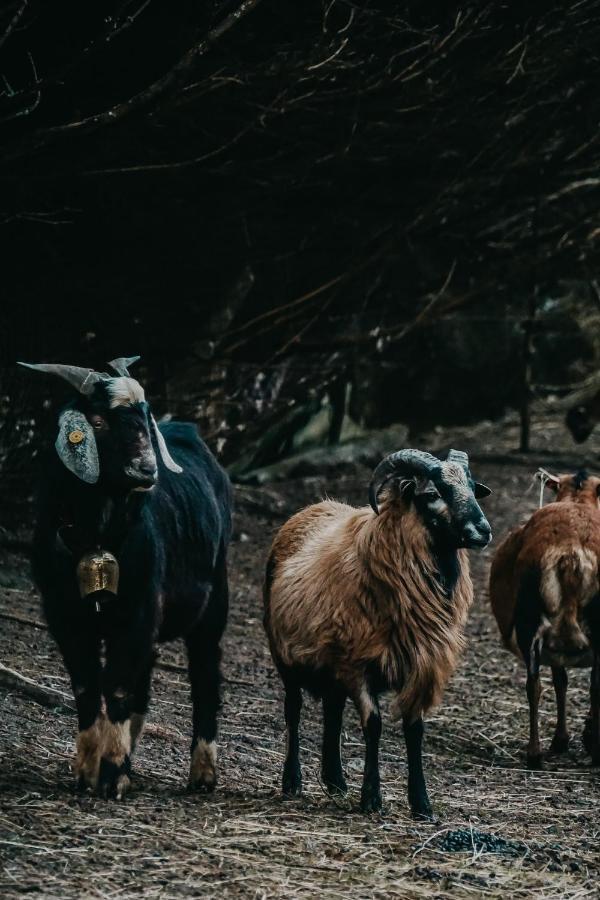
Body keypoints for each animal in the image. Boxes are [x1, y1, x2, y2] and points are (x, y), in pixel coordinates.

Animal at [17, 356, 231, 800]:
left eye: (145, 420)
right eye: (97, 422)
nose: (147, 469)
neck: (97, 534)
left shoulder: (137, 610)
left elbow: (115, 684)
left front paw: (112, 775)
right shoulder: (63, 613)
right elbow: (87, 685)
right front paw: (88, 770)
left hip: (214, 598)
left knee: (205, 675)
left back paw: (202, 774)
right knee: (144, 681)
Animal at [264, 448, 490, 816]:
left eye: (471, 487)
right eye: (432, 494)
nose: (482, 530)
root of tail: (312, 507)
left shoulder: (419, 666)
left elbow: (414, 730)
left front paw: (421, 804)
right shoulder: (358, 666)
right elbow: (373, 725)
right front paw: (371, 798)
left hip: (332, 663)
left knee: (333, 710)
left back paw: (336, 782)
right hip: (285, 653)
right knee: (293, 709)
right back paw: (292, 781)